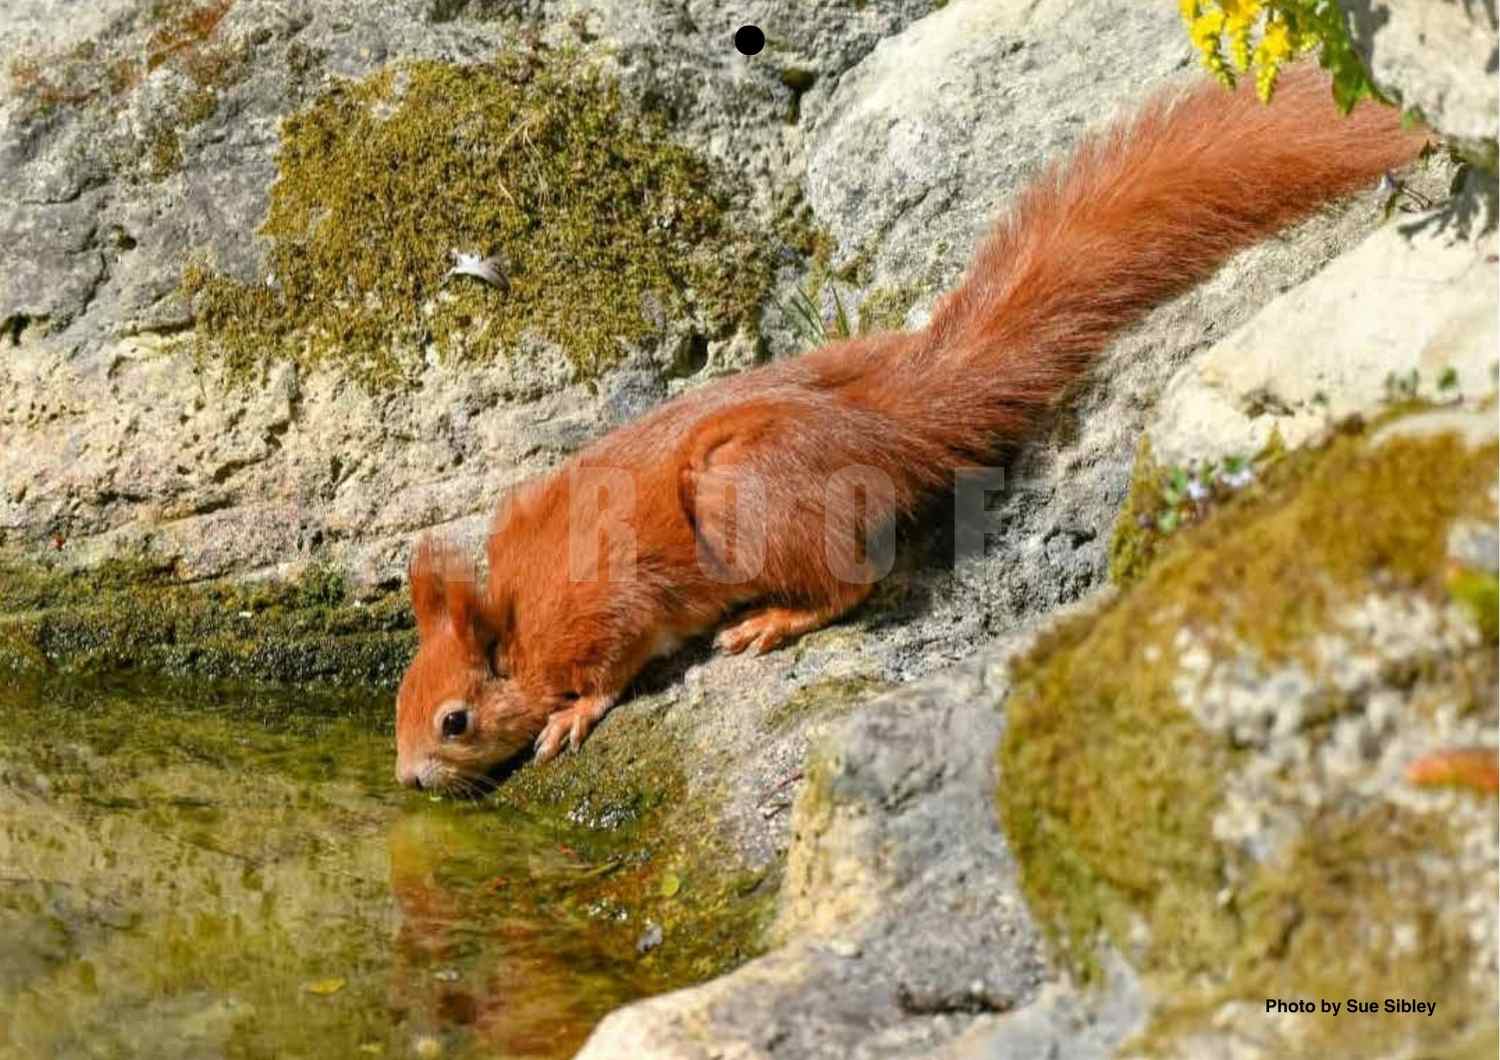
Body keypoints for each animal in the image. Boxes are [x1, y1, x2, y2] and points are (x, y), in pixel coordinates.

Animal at [394, 63, 1426, 792]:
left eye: (454, 721)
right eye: (400, 700)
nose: (409, 779)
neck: (521, 614)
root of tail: (886, 425)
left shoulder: (608, 604)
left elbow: (610, 663)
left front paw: (572, 715)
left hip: (741, 492)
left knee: (856, 579)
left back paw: (774, 620)